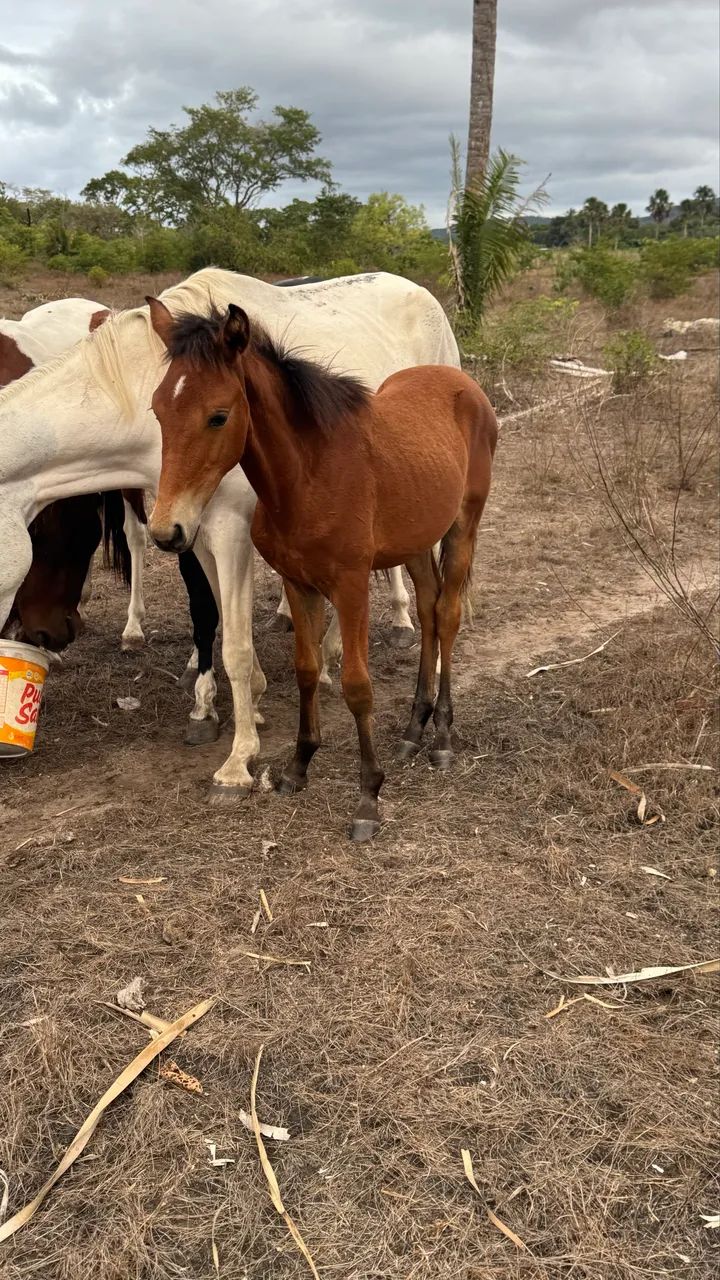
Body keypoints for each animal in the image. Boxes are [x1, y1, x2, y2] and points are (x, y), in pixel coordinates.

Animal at [0, 267, 460, 799]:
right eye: (157, 412)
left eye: (62, 541)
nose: (48, 635)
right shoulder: (189, 527)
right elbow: (214, 614)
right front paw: (240, 704)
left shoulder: (230, 529)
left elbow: (235, 645)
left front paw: (239, 760)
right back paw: (329, 652)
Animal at [146, 301, 497, 839]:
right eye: (158, 410)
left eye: (218, 416)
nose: (167, 531)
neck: (309, 476)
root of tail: (463, 382)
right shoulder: (297, 583)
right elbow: (307, 670)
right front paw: (298, 767)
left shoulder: (351, 587)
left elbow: (356, 685)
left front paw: (368, 796)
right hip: (416, 542)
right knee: (429, 610)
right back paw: (413, 730)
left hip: (463, 526)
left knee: (449, 614)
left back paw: (440, 736)